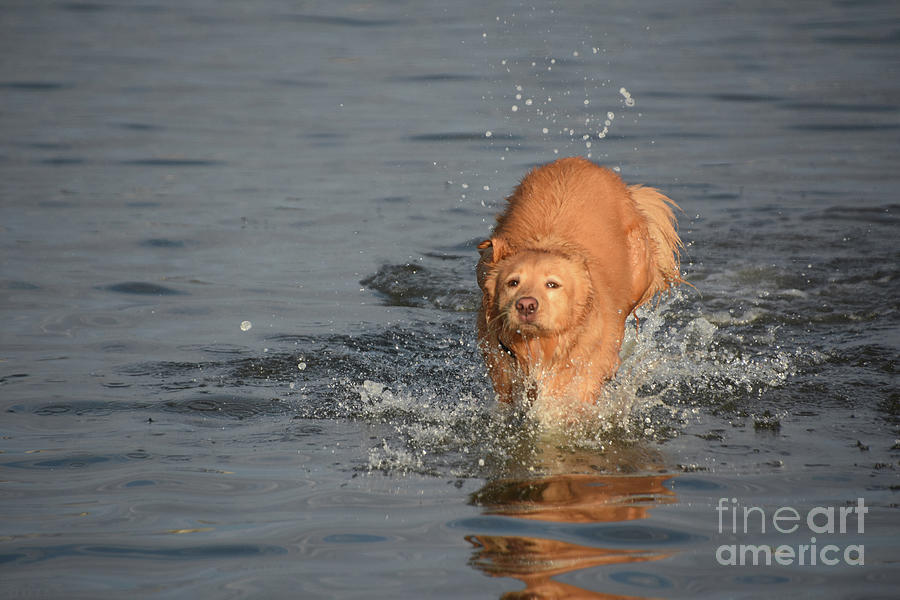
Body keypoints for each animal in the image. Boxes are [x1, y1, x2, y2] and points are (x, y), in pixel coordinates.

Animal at [478, 157, 684, 406]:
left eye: (552, 284)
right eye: (513, 282)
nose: (526, 305)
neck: (540, 345)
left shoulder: (583, 360)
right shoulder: (499, 357)